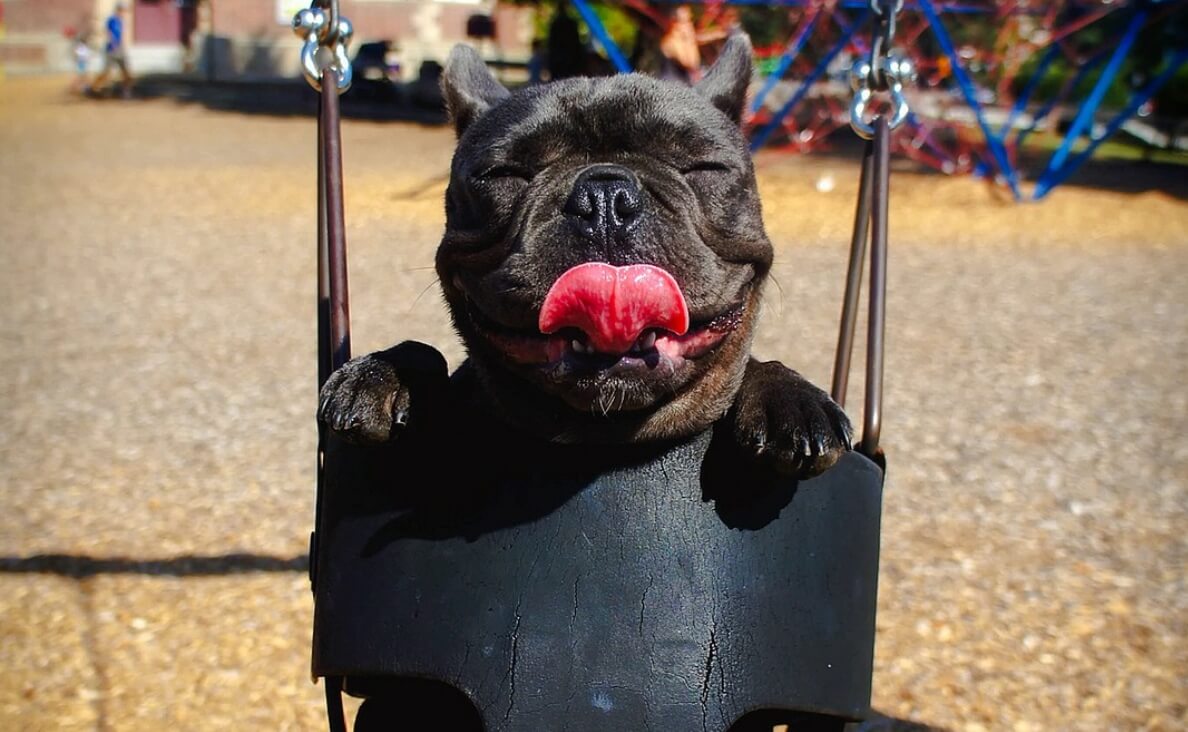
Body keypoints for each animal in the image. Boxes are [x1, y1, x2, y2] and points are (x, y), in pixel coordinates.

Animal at [320, 34, 850, 480]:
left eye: (704, 167)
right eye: (502, 174)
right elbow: (425, 350)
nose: (605, 198)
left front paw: (789, 396)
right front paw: (380, 373)